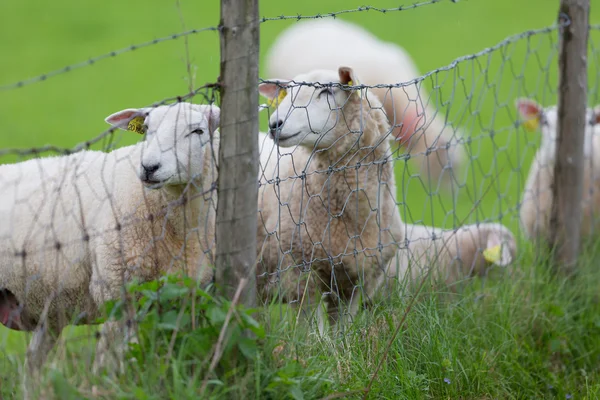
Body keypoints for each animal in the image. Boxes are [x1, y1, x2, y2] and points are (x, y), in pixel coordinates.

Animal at [0, 101, 220, 396]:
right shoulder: (116, 291)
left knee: (34, 361)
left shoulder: (179, 296)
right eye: (146, 129)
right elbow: (110, 359)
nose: (149, 167)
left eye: (197, 131)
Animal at [255, 66, 400, 334]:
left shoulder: (355, 281)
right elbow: (312, 331)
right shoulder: (299, 273)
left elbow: (342, 330)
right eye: (287, 93)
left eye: (326, 91)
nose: (274, 124)